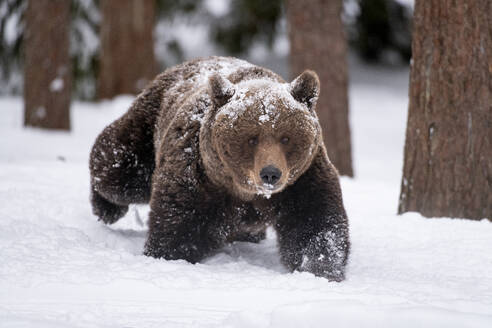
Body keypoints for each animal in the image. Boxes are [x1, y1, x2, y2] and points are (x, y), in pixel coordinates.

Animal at [89, 56, 350, 282]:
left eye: (286, 138)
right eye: (252, 138)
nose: (270, 173)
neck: (245, 191)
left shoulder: (302, 180)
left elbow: (315, 223)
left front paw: (320, 269)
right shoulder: (198, 178)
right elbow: (178, 226)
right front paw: (167, 253)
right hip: (147, 128)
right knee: (118, 170)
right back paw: (106, 207)